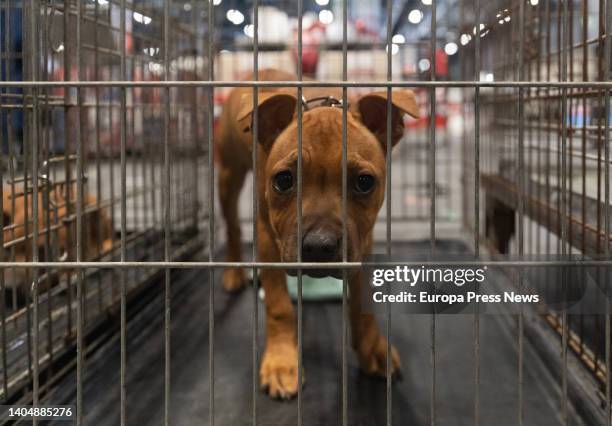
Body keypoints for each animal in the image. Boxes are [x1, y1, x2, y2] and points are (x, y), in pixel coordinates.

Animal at [216, 69, 420, 400]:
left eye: (364, 182)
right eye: (284, 180)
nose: (319, 247)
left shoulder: (361, 245)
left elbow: (362, 302)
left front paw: (372, 347)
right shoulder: (268, 239)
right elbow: (279, 307)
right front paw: (282, 362)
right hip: (228, 176)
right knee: (232, 225)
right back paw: (234, 272)